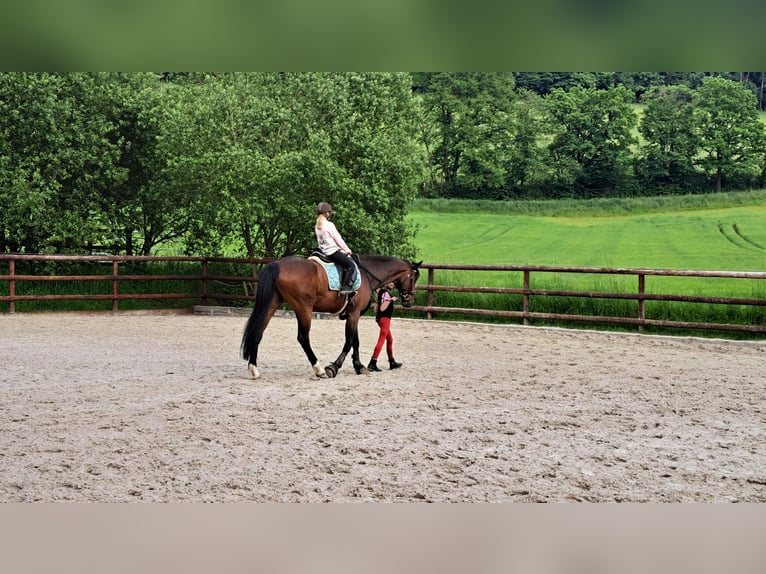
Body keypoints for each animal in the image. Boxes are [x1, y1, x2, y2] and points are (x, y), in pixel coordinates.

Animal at [242, 254, 424, 380]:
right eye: (414, 277)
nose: (410, 300)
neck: (367, 275)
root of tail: (278, 264)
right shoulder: (354, 313)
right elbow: (349, 341)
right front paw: (334, 367)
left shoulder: (353, 314)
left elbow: (355, 341)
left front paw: (359, 366)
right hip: (304, 308)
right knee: (303, 337)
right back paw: (319, 369)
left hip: (272, 303)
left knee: (257, 332)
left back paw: (254, 369)